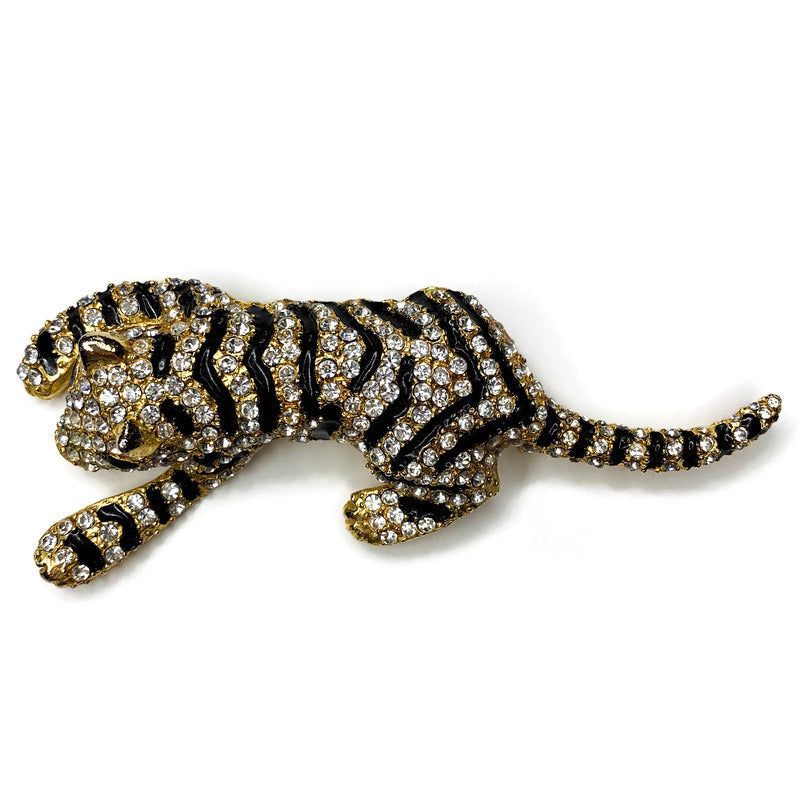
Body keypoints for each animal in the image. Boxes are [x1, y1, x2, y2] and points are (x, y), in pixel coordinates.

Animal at [18, 279, 781, 586]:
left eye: (122, 450)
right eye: (84, 397)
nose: (60, 447)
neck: (213, 366)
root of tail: (524, 393)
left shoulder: (226, 450)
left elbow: (147, 502)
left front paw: (69, 548)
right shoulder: (213, 301)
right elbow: (132, 291)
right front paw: (44, 359)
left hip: (408, 442)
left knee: (478, 486)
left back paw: (377, 511)